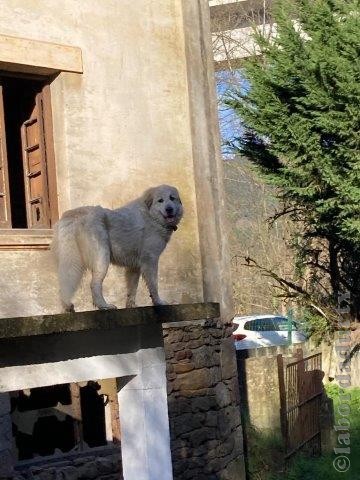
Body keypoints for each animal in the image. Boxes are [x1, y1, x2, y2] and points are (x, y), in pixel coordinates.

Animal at [51, 184, 183, 312]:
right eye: (160, 200)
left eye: (172, 198)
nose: (169, 209)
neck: (151, 216)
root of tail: (75, 215)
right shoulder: (150, 260)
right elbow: (154, 285)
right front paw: (158, 302)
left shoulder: (135, 266)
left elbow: (132, 289)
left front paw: (131, 306)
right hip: (102, 259)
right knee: (94, 284)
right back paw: (104, 306)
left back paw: (67, 307)